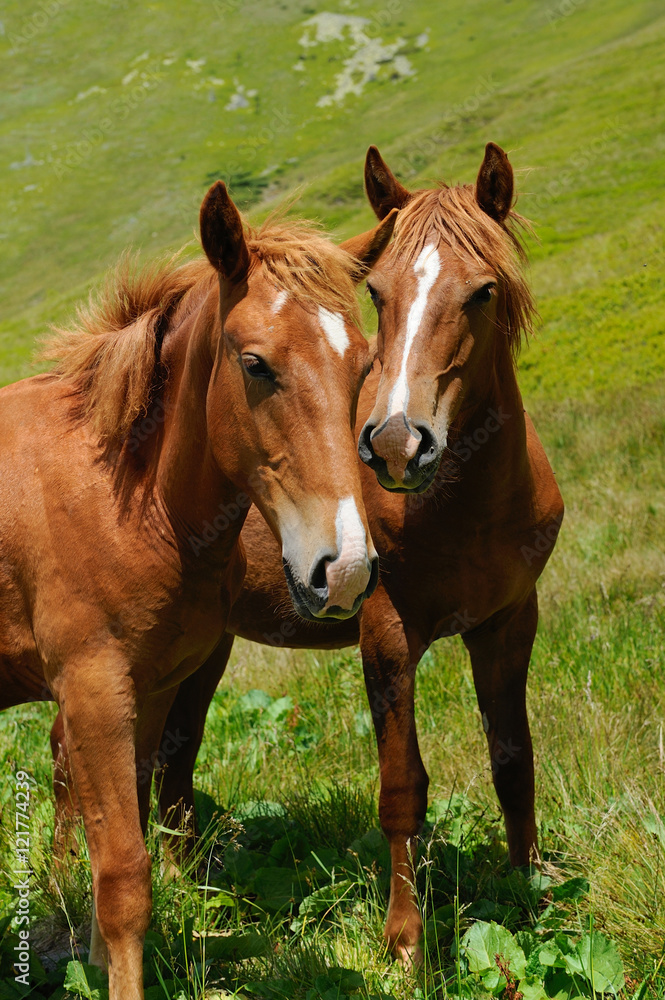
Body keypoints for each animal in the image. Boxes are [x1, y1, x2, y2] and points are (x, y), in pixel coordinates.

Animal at [0, 182, 394, 1000]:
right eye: (255, 364)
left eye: (362, 365)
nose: (343, 568)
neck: (126, 495)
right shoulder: (93, 690)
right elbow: (124, 875)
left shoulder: (148, 690)